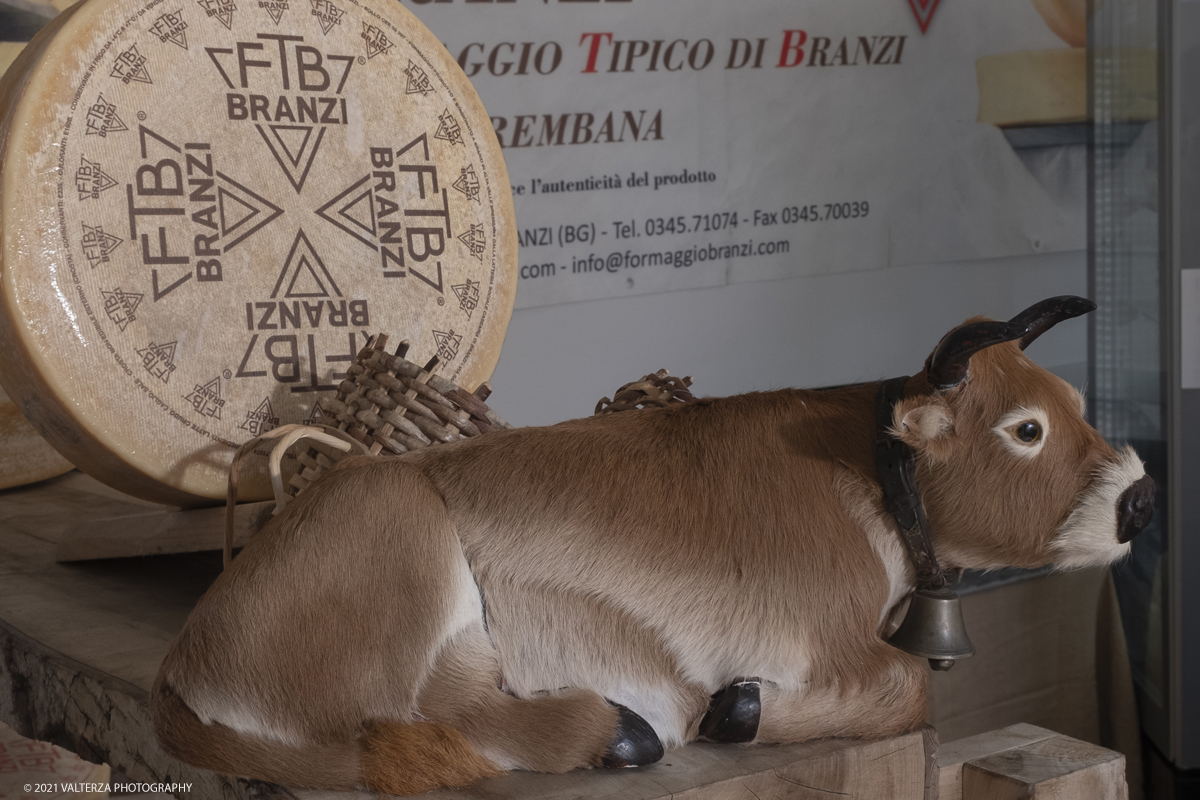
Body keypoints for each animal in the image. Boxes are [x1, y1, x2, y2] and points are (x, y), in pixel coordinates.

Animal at [150, 297, 1152, 796]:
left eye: (1074, 405)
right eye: (1025, 430)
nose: (1140, 497)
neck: (871, 469)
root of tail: (181, 663)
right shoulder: (828, 641)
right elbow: (910, 689)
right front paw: (739, 709)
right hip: (403, 545)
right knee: (418, 718)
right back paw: (621, 730)